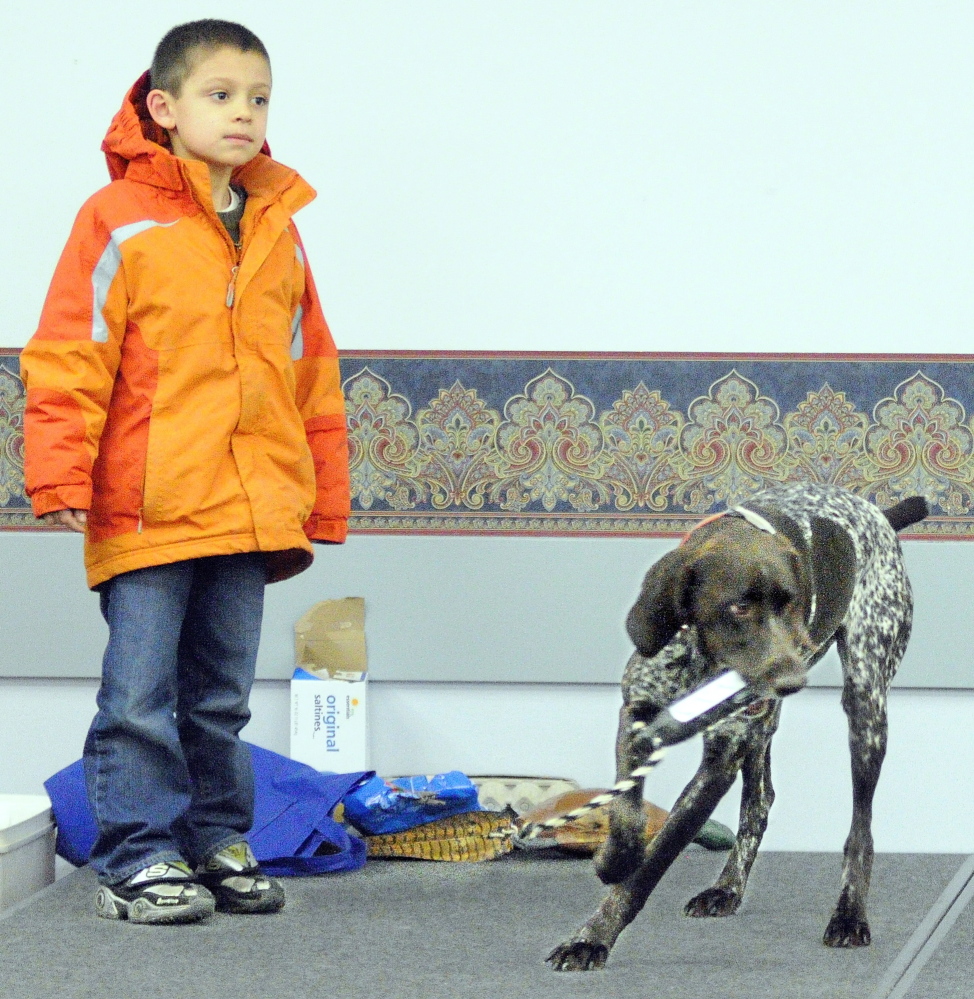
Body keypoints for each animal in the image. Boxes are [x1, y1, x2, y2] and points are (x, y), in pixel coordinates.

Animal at [548, 480, 932, 972]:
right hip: (765, 728)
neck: (702, 659)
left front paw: (592, 938)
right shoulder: (639, 714)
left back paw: (849, 913)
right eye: (740, 607)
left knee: (859, 830)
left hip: (864, 705)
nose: (792, 681)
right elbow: (627, 811)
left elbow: (651, 866)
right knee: (760, 801)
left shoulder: (720, 762)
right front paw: (615, 860)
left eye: (791, 604)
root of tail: (878, 514)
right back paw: (727, 887)